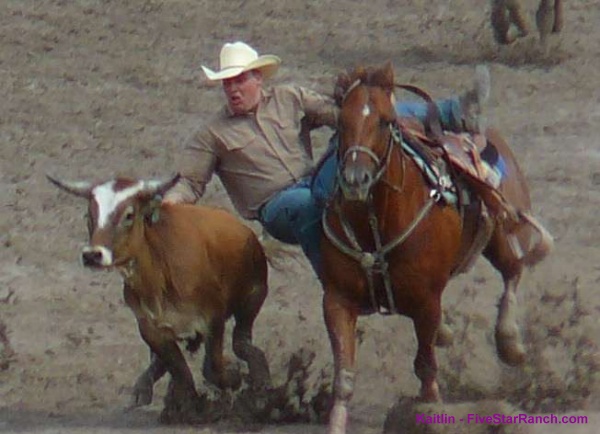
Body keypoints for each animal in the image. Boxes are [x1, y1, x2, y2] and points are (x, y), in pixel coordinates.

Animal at [318, 63, 552, 434]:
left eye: (385, 121)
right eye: (341, 121)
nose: (355, 179)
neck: (378, 226)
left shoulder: (426, 302)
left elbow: (426, 370)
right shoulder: (337, 300)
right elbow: (344, 377)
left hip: (501, 233)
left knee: (513, 272)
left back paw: (510, 342)